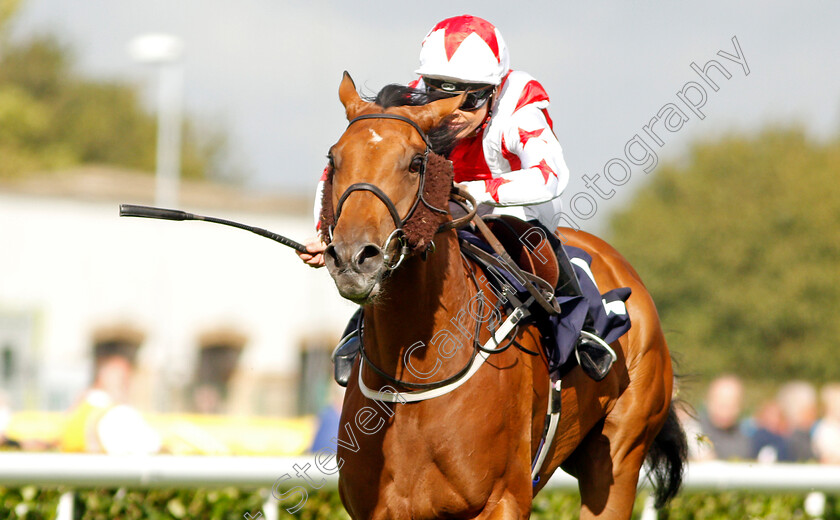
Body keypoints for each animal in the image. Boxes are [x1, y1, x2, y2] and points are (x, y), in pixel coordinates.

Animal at [318, 71, 684, 516]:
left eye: (416, 163)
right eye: (334, 159)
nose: (354, 257)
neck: (413, 377)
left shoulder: (502, 498)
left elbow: (545, 169)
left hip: (618, 454)